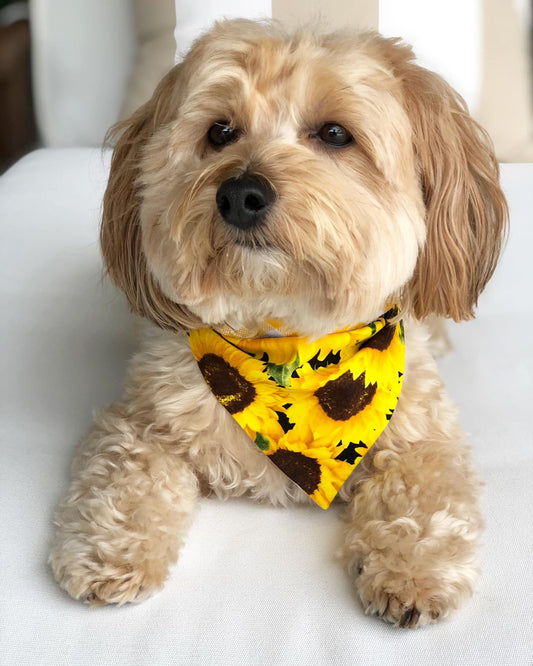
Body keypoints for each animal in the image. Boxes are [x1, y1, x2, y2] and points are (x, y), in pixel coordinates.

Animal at [50, 18, 508, 624]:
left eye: (335, 134)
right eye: (220, 131)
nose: (241, 193)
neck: (283, 345)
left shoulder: (422, 432)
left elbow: (427, 488)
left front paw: (415, 570)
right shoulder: (139, 421)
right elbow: (123, 477)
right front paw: (109, 552)